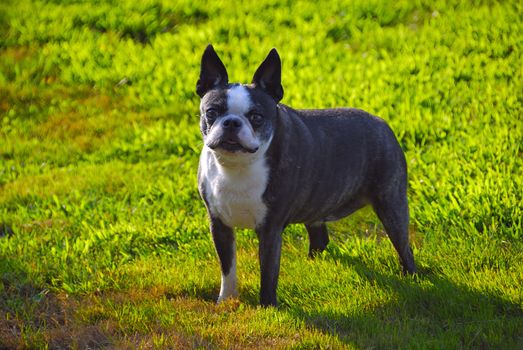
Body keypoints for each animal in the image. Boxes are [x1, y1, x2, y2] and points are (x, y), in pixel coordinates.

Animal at [196, 43, 418, 306]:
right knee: (319, 237)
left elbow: (268, 272)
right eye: (212, 112)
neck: (237, 166)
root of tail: (382, 123)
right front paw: (227, 301)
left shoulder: (270, 229)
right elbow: (227, 267)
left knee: (403, 245)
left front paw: (268, 307)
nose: (231, 122)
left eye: (257, 117)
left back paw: (411, 276)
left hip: (391, 204)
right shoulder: (219, 224)